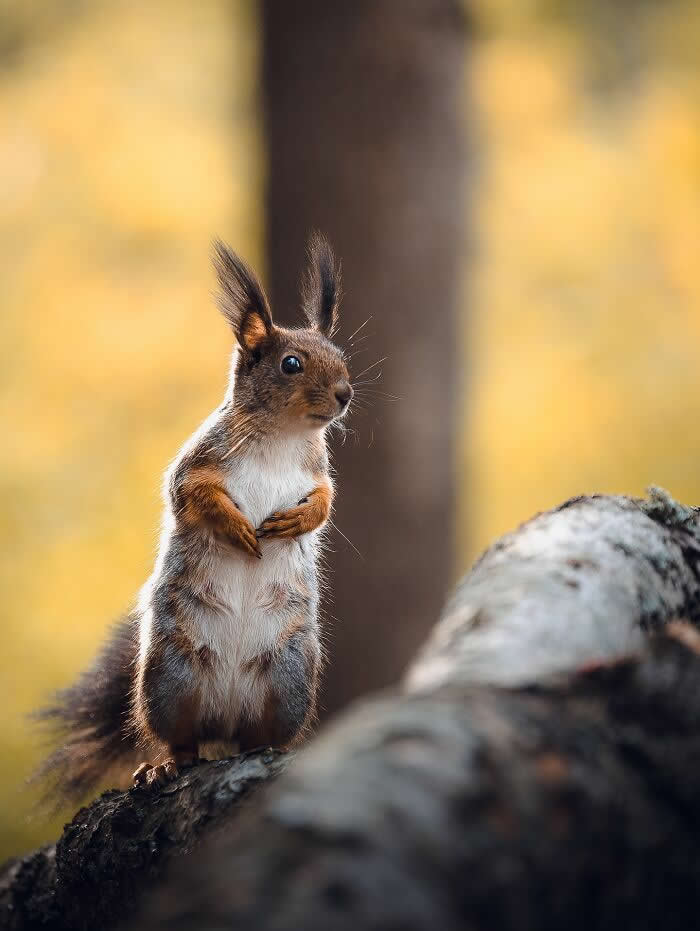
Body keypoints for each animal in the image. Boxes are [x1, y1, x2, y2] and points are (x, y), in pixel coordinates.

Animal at [34, 233, 353, 801]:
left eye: (342, 357)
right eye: (291, 364)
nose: (345, 393)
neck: (284, 435)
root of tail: (226, 714)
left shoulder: (317, 472)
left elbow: (325, 500)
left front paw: (297, 522)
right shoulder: (199, 460)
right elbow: (193, 493)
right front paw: (236, 527)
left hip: (289, 677)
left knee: (260, 736)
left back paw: (269, 749)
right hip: (170, 678)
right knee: (181, 739)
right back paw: (165, 765)